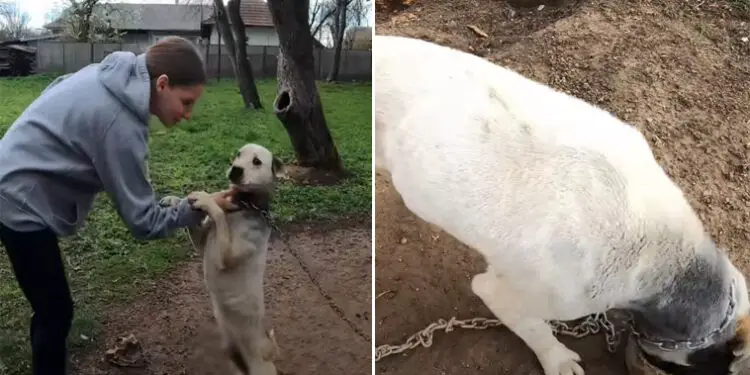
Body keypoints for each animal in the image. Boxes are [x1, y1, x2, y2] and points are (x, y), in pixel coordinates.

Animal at [162, 143, 284, 375]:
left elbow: (217, 212)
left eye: (257, 162)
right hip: (230, 353)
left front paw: (207, 199)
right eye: (238, 154)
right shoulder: (202, 243)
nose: (235, 169)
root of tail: (269, 350)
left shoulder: (226, 256)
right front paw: (175, 200)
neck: (244, 204)